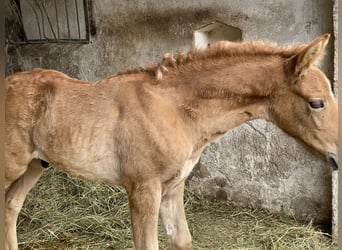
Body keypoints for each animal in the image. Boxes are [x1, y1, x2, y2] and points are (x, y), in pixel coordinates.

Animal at [5, 33, 336, 250]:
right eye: (316, 102)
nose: (337, 156)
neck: (172, 108)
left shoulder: (174, 188)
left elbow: (182, 240)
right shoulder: (144, 189)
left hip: (36, 164)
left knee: (10, 204)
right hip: (12, 166)